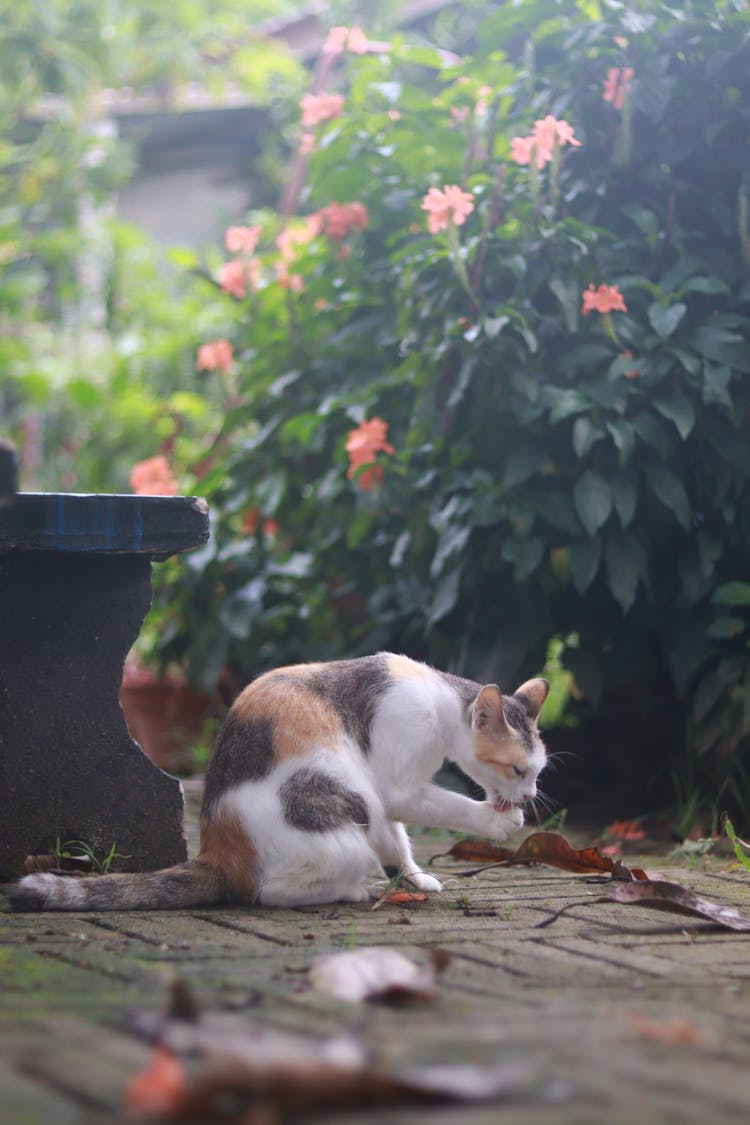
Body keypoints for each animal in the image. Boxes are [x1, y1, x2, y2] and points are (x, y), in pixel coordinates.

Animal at [8, 657, 548, 909]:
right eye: (518, 771)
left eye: (538, 773)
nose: (527, 797)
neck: (439, 698)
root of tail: (216, 851)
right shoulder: (396, 785)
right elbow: (442, 806)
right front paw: (498, 823)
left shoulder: (387, 798)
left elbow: (397, 840)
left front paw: (413, 879)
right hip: (346, 801)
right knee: (269, 893)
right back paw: (349, 891)